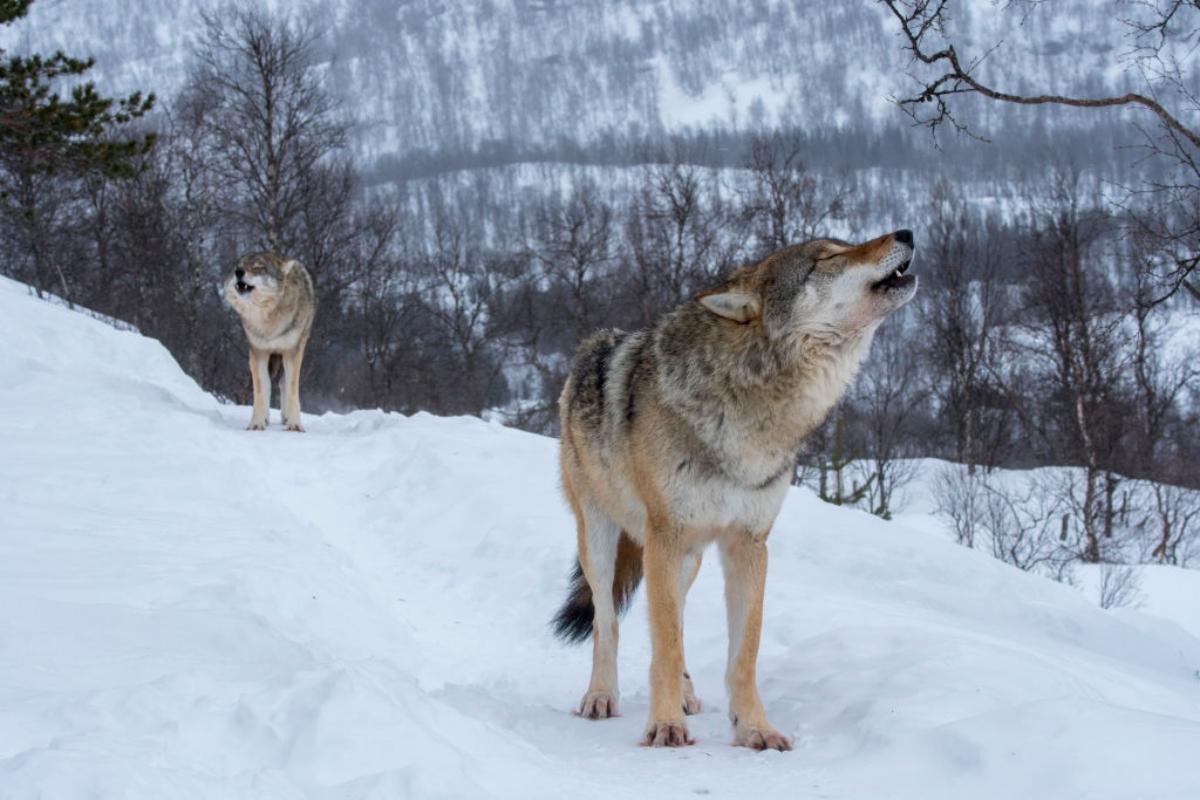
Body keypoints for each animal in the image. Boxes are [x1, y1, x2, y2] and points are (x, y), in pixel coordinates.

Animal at [223, 251, 316, 432]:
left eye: (259, 267)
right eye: (239, 265)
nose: (238, 272)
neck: (268, 319)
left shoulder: (292, 352)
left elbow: (292, 391)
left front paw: (294, 425)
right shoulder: (259, 352)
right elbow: (261, 390)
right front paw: (256, 424)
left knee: (282, 383)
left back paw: (286, 418)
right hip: (255, 357)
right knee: (266, 385)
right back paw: (265, 418)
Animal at [552, 230, 917, 750]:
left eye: (842, 244)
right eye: (827, 257)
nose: (906, 233)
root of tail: (591, 346)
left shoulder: (749, 543)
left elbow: (741, 654)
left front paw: (754, 729)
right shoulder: (666, 537)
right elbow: (660, 642)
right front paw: (665, 725)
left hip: (686, 560)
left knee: (675, 623)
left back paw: (685, 693)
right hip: (604, 542)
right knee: (609, 622)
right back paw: (601, 696)